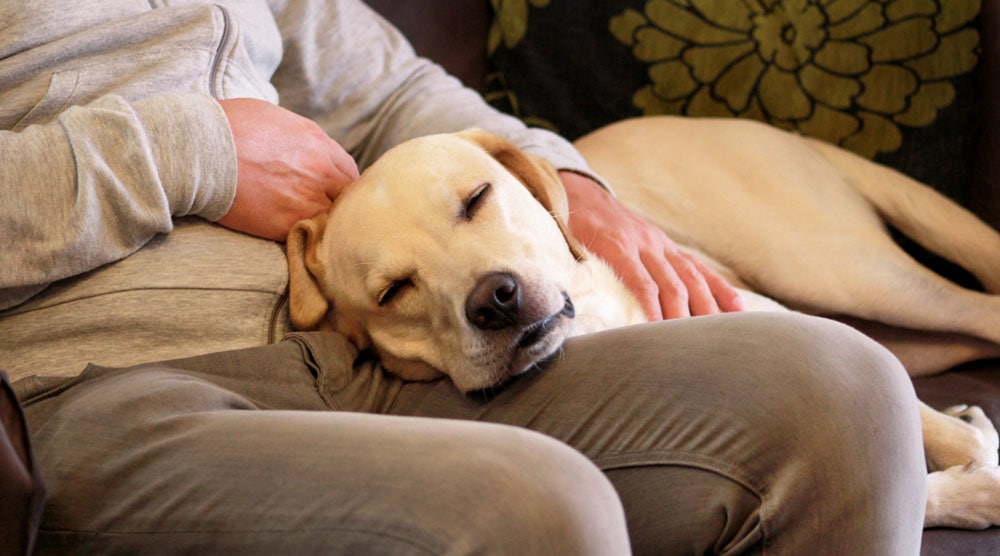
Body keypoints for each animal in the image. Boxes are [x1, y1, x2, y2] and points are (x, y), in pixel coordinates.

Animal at [286, 118, 1000, 528]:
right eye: (393, 290)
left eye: (476, 198)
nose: (496, 299)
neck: (590, 322)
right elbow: (920, 471)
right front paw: (974, 486)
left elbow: (938, 434)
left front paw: (977, 461)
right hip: (893, 324)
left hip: (838, 272)